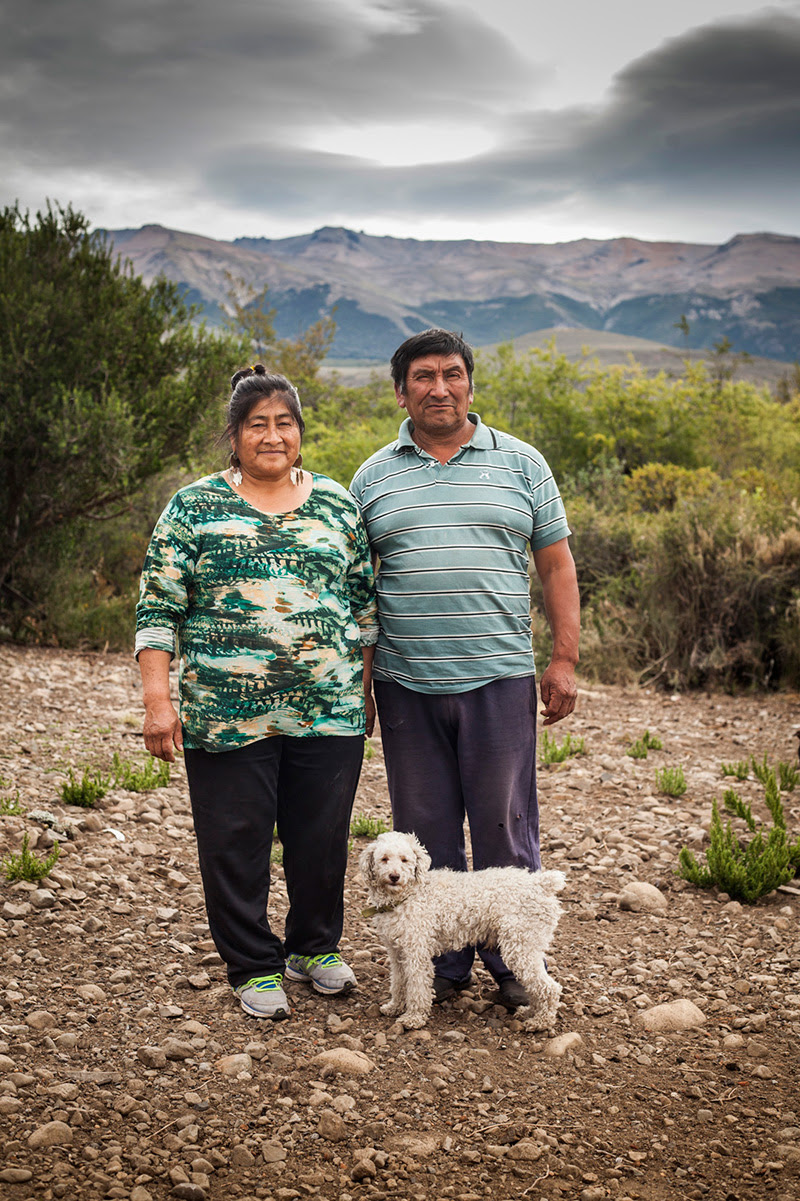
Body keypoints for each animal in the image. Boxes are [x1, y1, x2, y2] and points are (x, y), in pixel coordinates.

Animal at [357, 831, 564, 1028]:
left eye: (404, 860)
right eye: (384, 859)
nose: (394, 876)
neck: (409, 895)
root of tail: (541, 884)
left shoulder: (416, 953)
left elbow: (417, 988)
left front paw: (413, 1018)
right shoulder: (397, 952)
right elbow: (399, 982)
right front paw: (394, 1007)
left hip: (521, 947)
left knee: (549, 988)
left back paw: (541, 1021)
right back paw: (530, 1012)